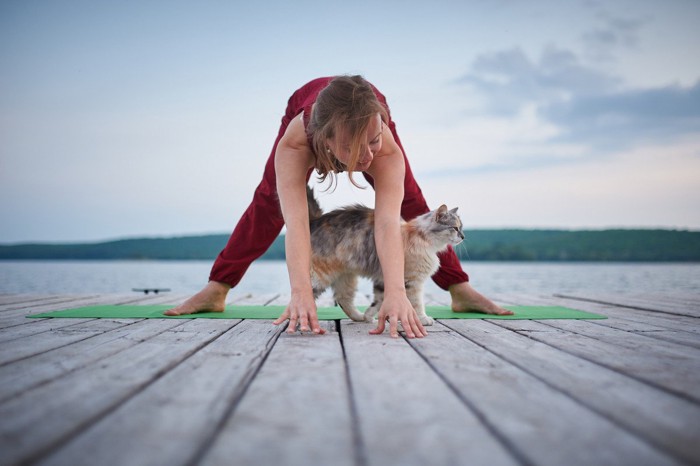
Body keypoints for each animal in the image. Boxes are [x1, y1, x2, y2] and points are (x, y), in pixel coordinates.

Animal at [308, 187, 464, 326]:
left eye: (461, 228)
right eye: (455, 228)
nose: (463, 236)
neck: (420, 236)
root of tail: (314, 223)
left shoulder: (383, 280)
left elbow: (378, 301)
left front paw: (368, 316)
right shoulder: (412, 281)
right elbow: (416, 303)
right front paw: (423, 319)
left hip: (346, 276)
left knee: (343, 299)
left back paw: (359, 317)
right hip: (322, 275)